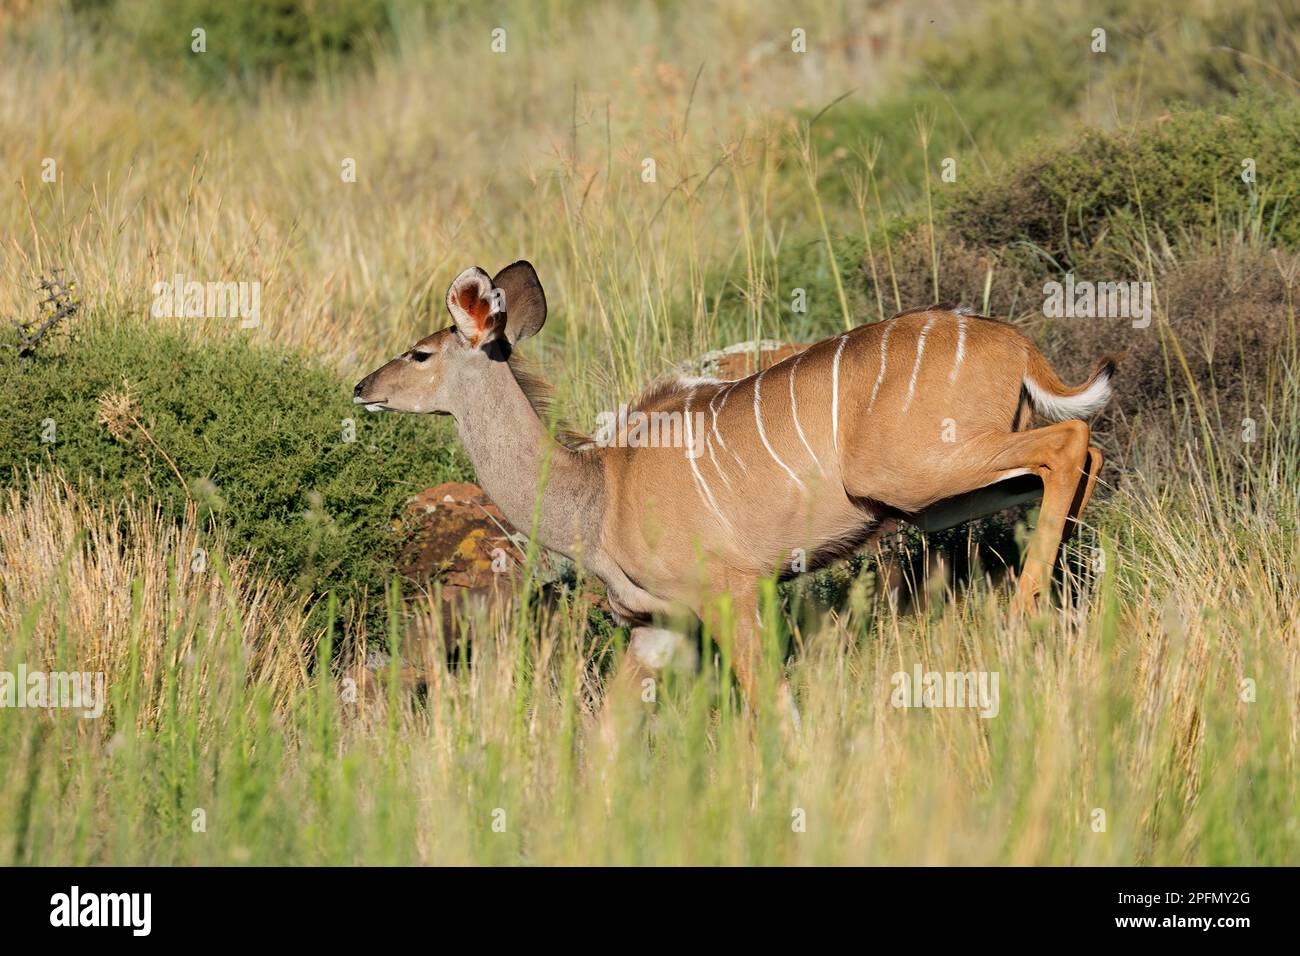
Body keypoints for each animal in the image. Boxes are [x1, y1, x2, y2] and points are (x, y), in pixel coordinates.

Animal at [356, 261, 1118, 712]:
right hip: (940, 497)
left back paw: (1025, 611)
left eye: (419, 353)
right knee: (1082, 460)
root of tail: (1019, 346)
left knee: (1071, 442)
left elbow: (774, 707)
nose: (363, 388)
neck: (597, 492)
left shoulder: (734, 594)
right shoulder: (654, 628)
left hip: (918, 472)